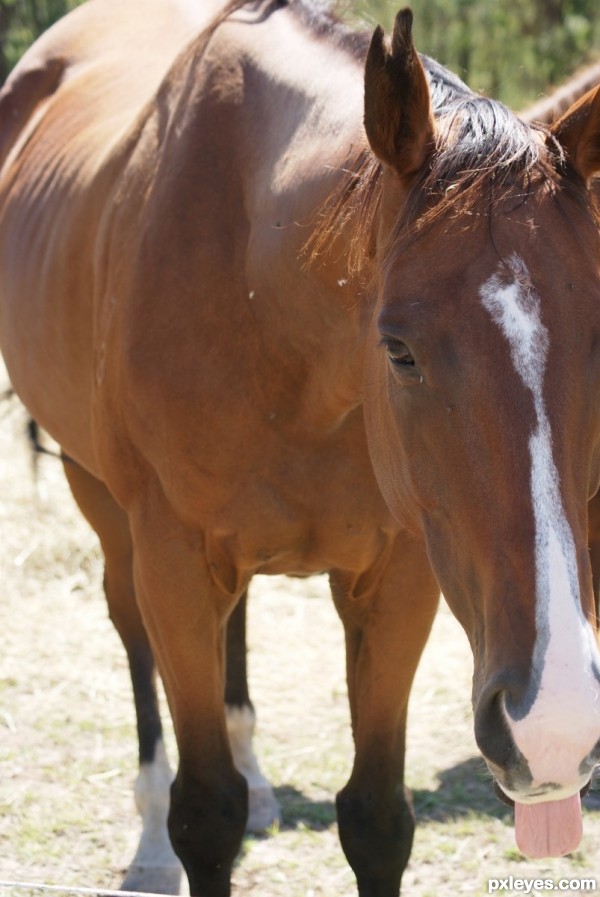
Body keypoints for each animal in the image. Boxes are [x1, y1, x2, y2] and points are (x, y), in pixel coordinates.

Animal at [1, 1, 600, 896]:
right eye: (398, 348)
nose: (553, 725)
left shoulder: (399, 576)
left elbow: (377, 818)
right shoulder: (175, 563)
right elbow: (203, 814)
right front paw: (189, 819)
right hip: (100, 499)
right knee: (130, 630)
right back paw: (149, 838)